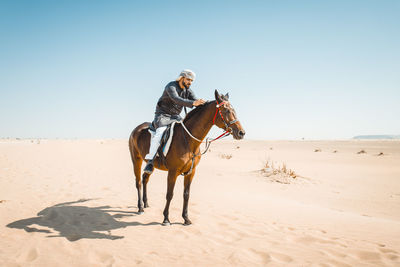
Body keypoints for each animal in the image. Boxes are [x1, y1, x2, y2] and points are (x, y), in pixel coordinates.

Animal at [130, 90, 245, 226]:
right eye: (226, 110)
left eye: (234, 110)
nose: (241, 133)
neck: (188, 140)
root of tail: (136, 129)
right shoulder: (172, 172)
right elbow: (170, 194)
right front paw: (166, 218)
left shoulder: (191, 172)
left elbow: (186, 194)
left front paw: (186, 218)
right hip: (136, 160)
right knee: (138, 182)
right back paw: (140, 207)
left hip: (149, 164)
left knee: (145, 179)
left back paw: (146, 203)